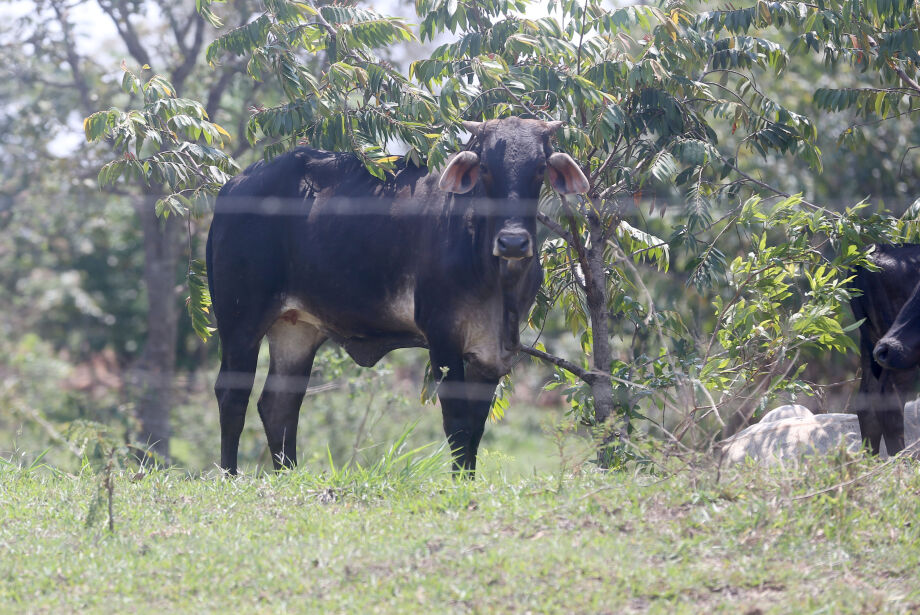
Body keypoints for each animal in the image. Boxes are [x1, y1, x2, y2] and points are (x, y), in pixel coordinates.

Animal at [207, 118, 588, 474]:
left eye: (539, 167)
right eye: (486, 168)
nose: (513, 243)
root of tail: (234, 186)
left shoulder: (493, 351)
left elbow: (476, 429)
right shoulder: (443, 337)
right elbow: (458, 423)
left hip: (296, 330)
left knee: (279, 404)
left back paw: (289, 474)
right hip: (240, 320)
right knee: (232, 396)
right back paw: (230, 475)